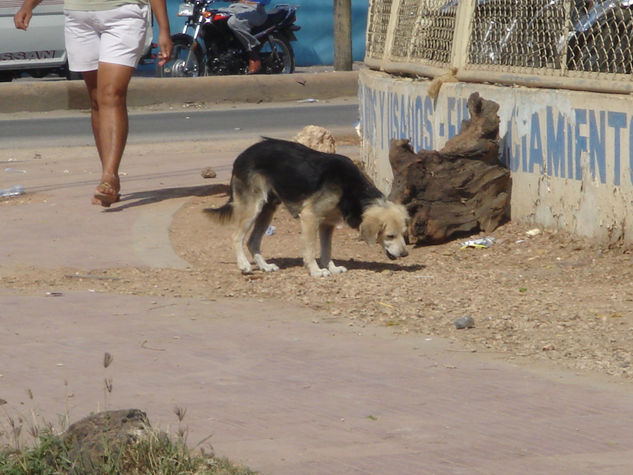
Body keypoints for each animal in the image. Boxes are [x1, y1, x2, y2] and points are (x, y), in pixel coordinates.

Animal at [205, 138, 408, 278]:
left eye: (404, 234)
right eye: (390, 236)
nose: (405, 254)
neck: (350, 188)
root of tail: (241, 156)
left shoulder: (327, 224)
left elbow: (326, 250)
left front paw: (331, 267)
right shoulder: (310, 217)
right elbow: (310, 249)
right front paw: (316, 271)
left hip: (267, 210)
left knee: (252, 241)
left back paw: (265, 266)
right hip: (253, 208)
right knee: (236, 237)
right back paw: (244, 265)